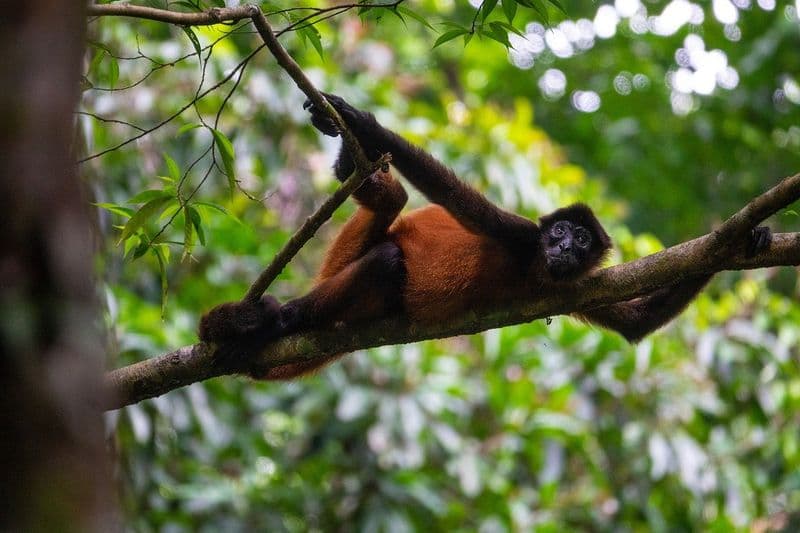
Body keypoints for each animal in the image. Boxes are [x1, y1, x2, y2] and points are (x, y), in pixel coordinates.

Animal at [199, 94, 772, 380]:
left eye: (582, 243)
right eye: (559, 232)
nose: (564, 247)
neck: (534, 265)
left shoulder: (575, 283)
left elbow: (637, 323)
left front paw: (745, 240)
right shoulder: (519, 235)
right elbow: (453, 196)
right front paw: (362, 120)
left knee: (391, 219)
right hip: (341, 257)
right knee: (388, 239)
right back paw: (277, 320)